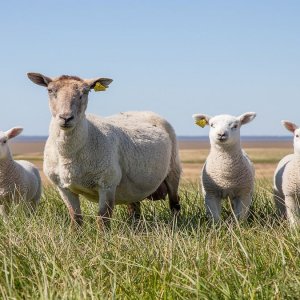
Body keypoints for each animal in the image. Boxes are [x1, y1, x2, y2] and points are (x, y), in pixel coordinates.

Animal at [28, 72, 182, 230]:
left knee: (174, 203)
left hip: (173, 169)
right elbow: (75, 218)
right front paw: (75, 234)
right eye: (50, 90)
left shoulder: (107, 184)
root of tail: (143, 111)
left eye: (85, 92)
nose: (66, 118)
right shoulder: (63, 187)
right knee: (134, 208)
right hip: (133, 188)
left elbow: (103, 219)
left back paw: (176, 225)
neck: (69, 153)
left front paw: (103, 236)